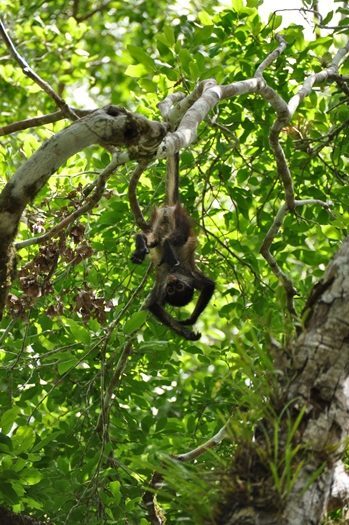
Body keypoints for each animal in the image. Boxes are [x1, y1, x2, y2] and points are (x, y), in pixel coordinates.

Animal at [128, 152, 213, 340]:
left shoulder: (178, 281)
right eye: (172, 289)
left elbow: (153, 306)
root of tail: (171, 207)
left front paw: (187, 329)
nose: (173, 282)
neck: (176, 273)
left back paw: (143, 244)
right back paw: (161, 247)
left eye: (178, 289)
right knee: (176, 237)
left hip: (162, 219)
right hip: (179, 219)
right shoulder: (184, 277)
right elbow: (210, 285)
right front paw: (189, 324)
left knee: (152, 237)